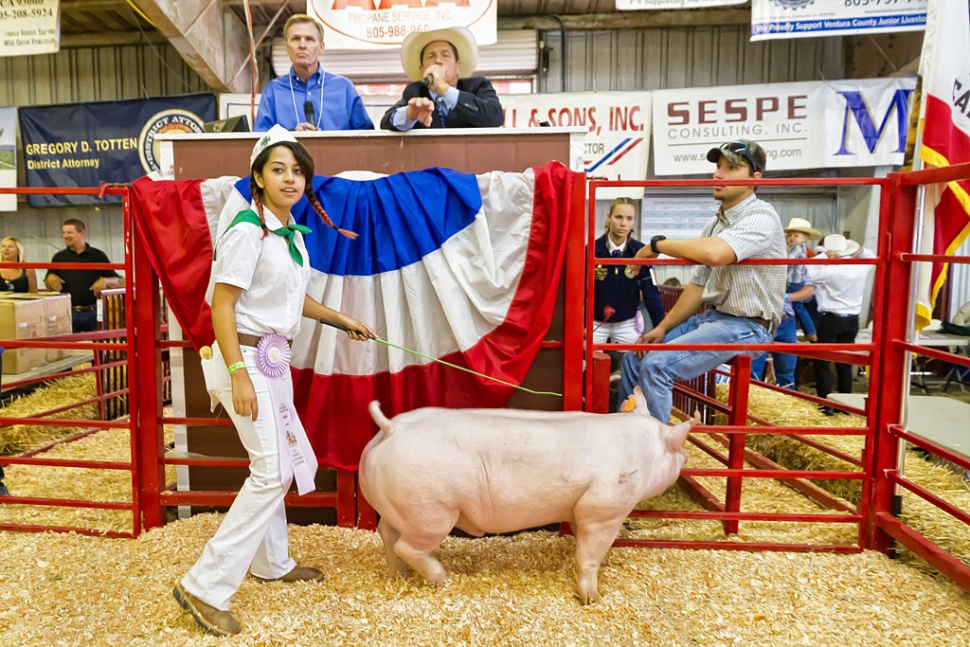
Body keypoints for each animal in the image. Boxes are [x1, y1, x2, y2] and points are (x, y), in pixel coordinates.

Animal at [358, 384, 696, 604]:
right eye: (677, 445)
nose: (686, 457)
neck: (640, 453)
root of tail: (391, 429)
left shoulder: (581, 509)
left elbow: (584, 540)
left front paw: (606, 564)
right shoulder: (603, 508)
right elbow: (587, 554)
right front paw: (594, 598)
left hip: (402, 507)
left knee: (387, 533)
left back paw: (398, 576)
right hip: (431, 512)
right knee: (407, 546)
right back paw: (440, 579)